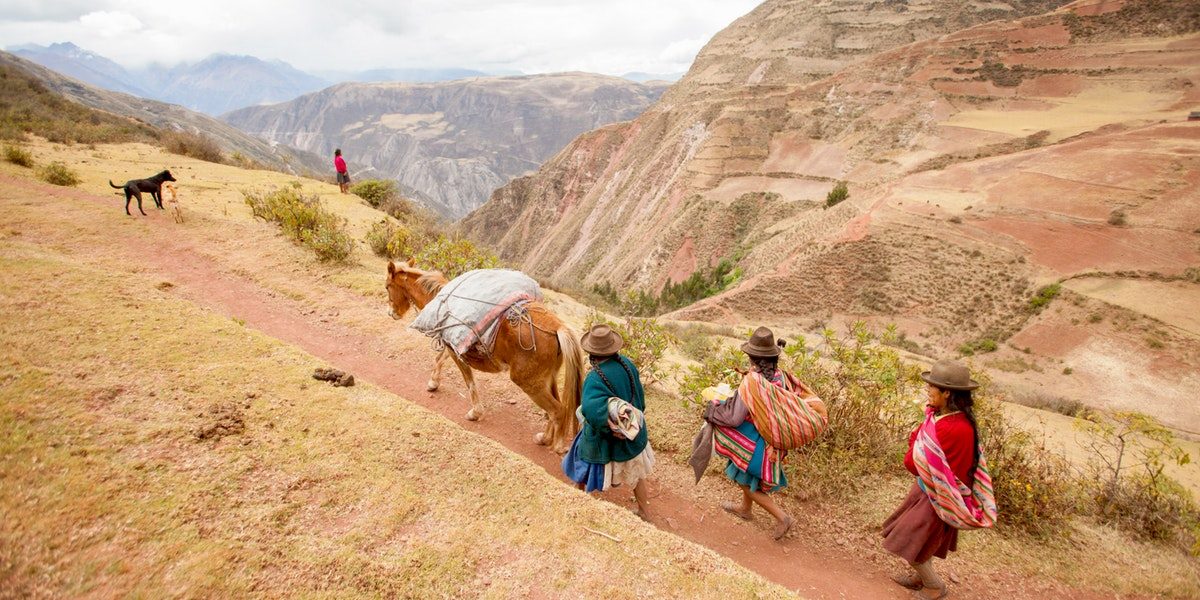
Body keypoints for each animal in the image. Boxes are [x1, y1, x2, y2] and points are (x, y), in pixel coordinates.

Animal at [386, 260, 583, 451]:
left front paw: (475, 413)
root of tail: (558, 327)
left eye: (387, 286)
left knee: (557, 411)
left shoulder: (456, 349)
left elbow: (468, 380)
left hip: (529, 383)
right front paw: (433, 383)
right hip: (547, 379)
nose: (392, 313)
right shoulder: (451, 345)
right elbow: (440, 359)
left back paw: (558, 446)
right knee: (555, 408)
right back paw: (544, 438)